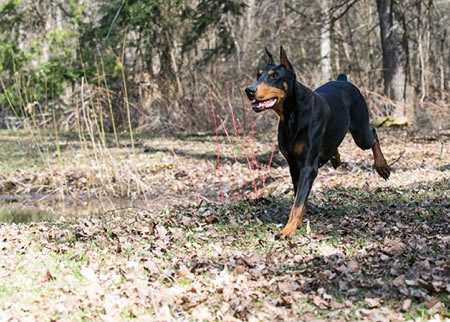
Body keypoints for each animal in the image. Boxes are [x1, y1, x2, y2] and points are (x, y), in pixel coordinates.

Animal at [246, 47, 390, 239]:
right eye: (258, 74)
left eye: (275, 76)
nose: (249, 90)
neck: (291, 115)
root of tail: (343, 80)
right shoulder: (293, 165)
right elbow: (298, 196)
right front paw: (297, 223)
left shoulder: (308, 167)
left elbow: (298, 202)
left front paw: (288, 230)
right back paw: (336, 157)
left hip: (361, 134)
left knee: (373, 134)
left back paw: (382, 166)